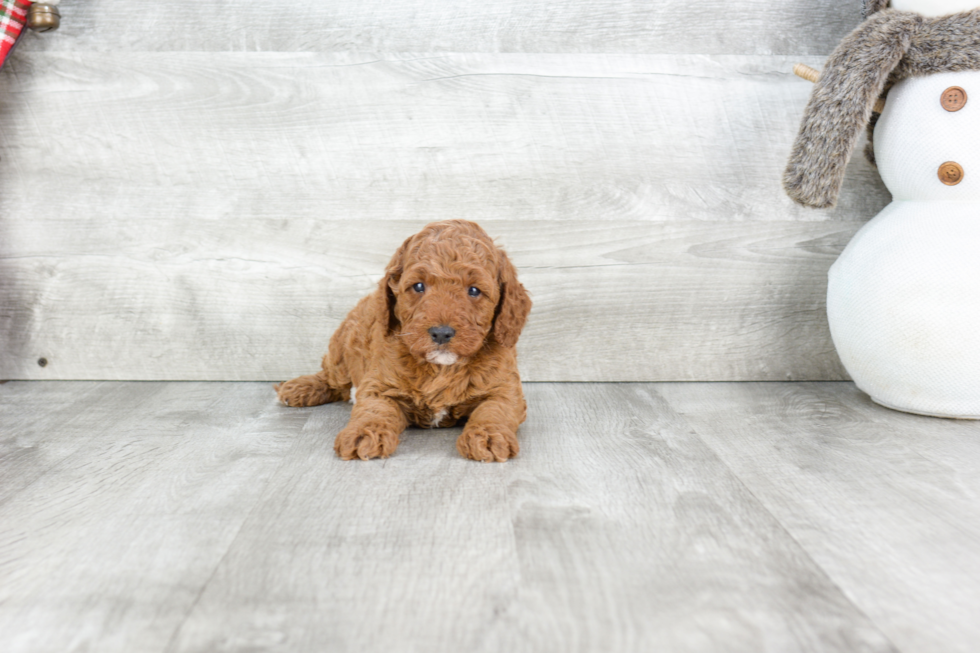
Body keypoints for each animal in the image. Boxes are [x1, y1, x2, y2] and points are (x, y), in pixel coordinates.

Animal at [276, 222, 532, 460]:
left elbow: (494, 409)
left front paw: (488, 436)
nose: (441, 333)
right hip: (341, 348)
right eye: (418, 286)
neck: (441, 369)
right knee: (332, 378)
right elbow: (374, 410)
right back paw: (299, 388)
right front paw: (365, 433)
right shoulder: (379, 385)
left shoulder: (505, 388)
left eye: (474, 290)